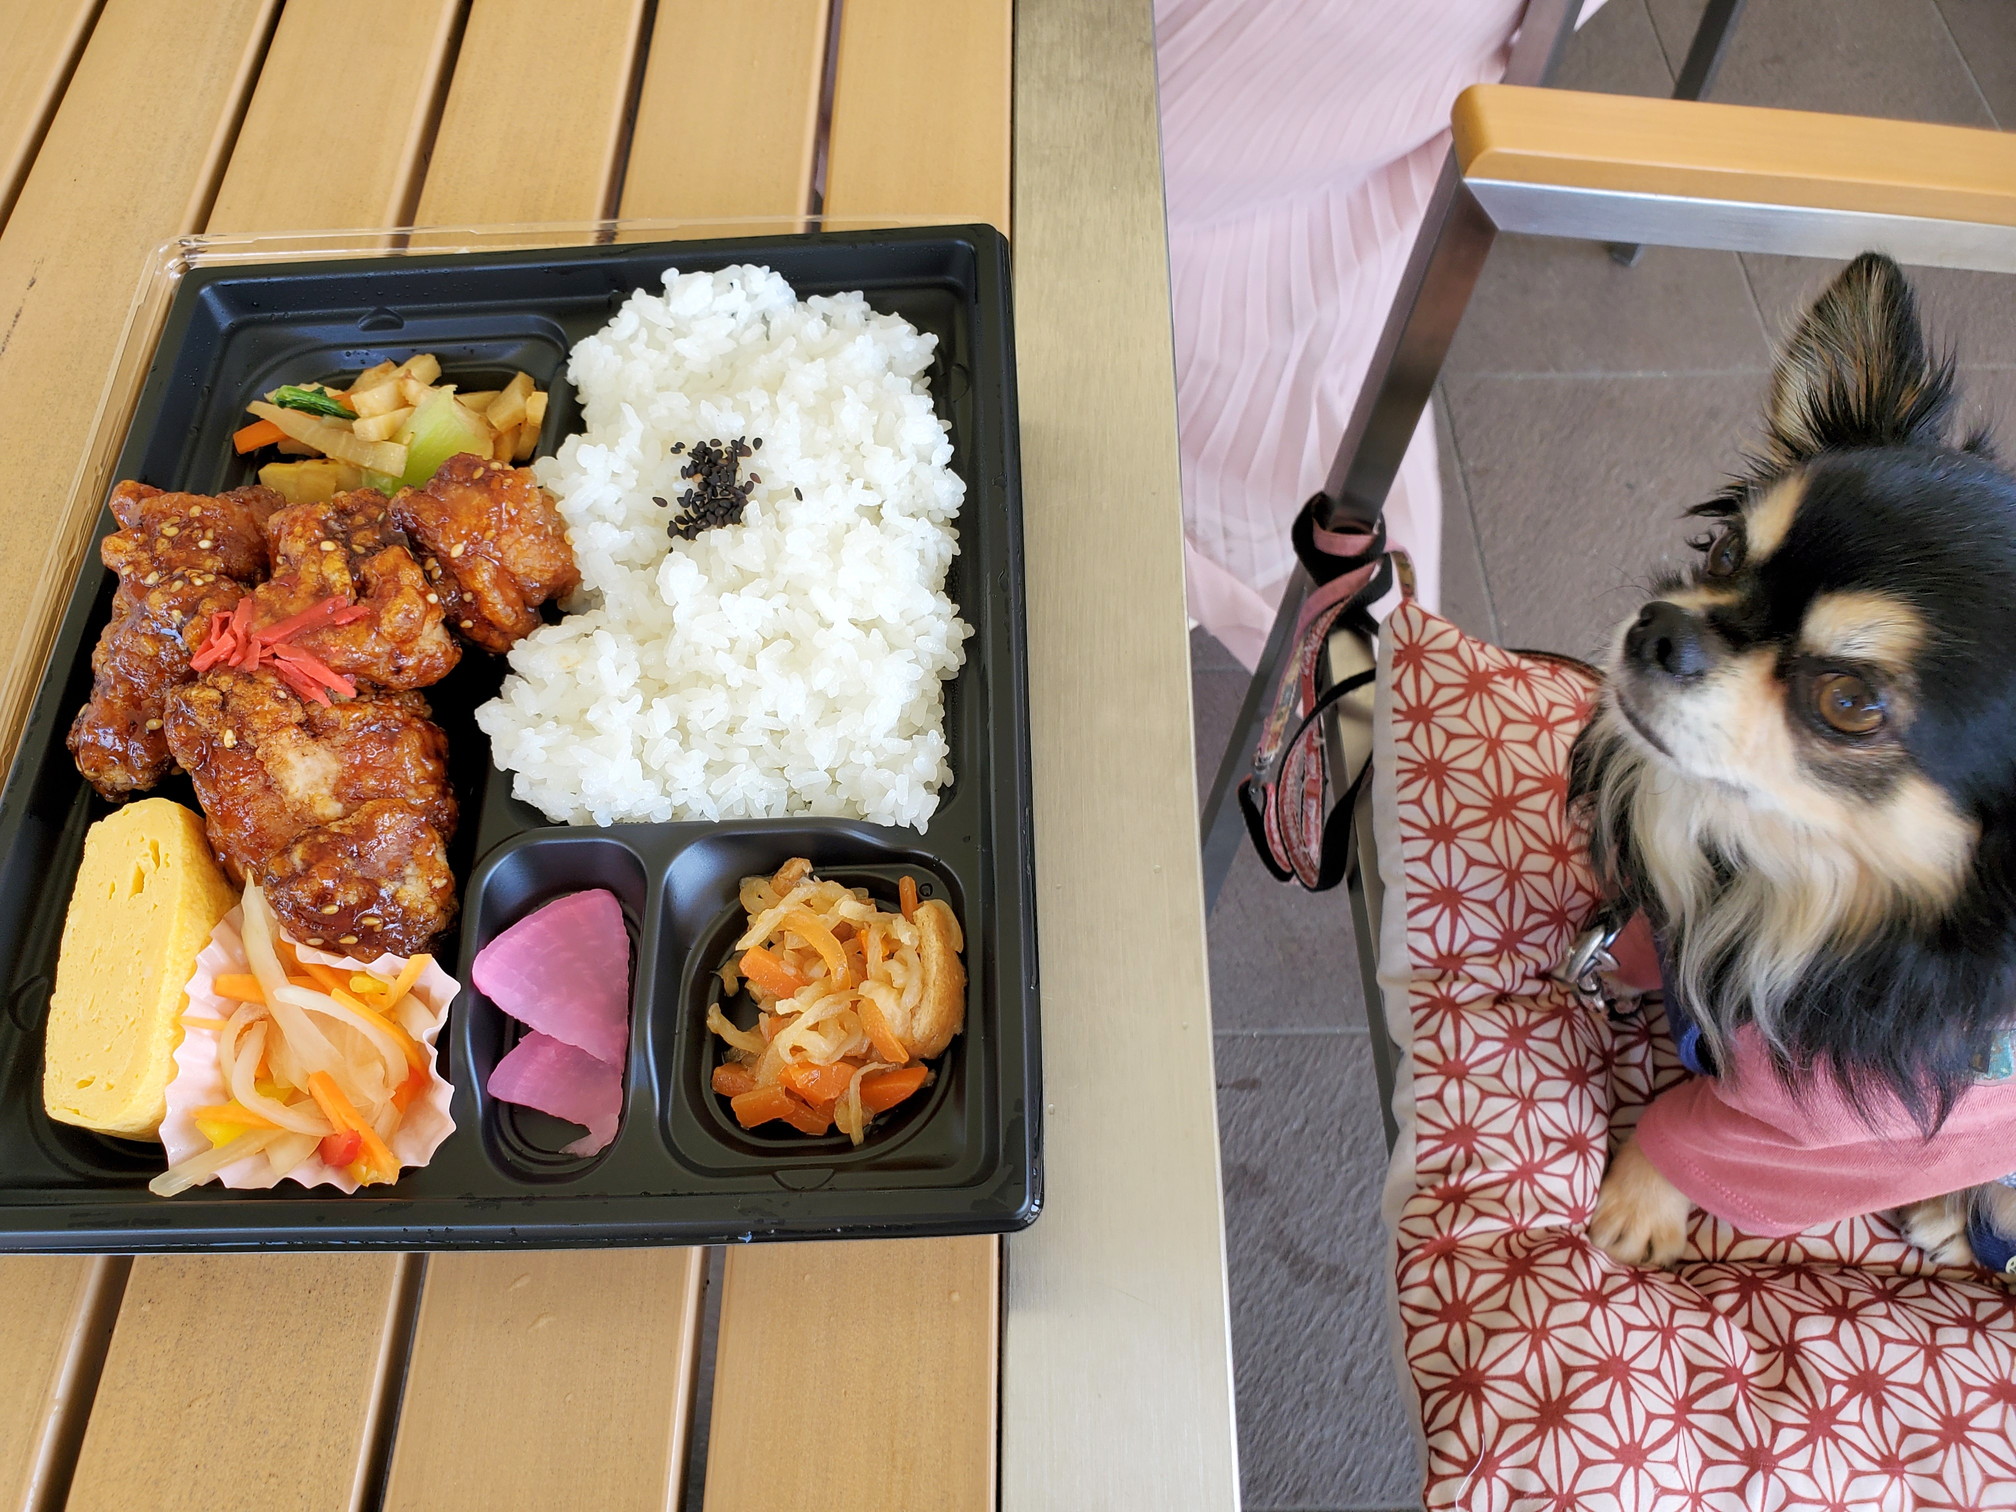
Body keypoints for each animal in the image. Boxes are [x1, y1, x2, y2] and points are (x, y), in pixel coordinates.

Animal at [1580, 255, 2016, 1274]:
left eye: (1849, 702)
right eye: (1728, 550)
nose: (1660, 627)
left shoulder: (1843, 1144)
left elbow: (1697, 1133)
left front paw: (1638, 1204)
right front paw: (1622, 967)